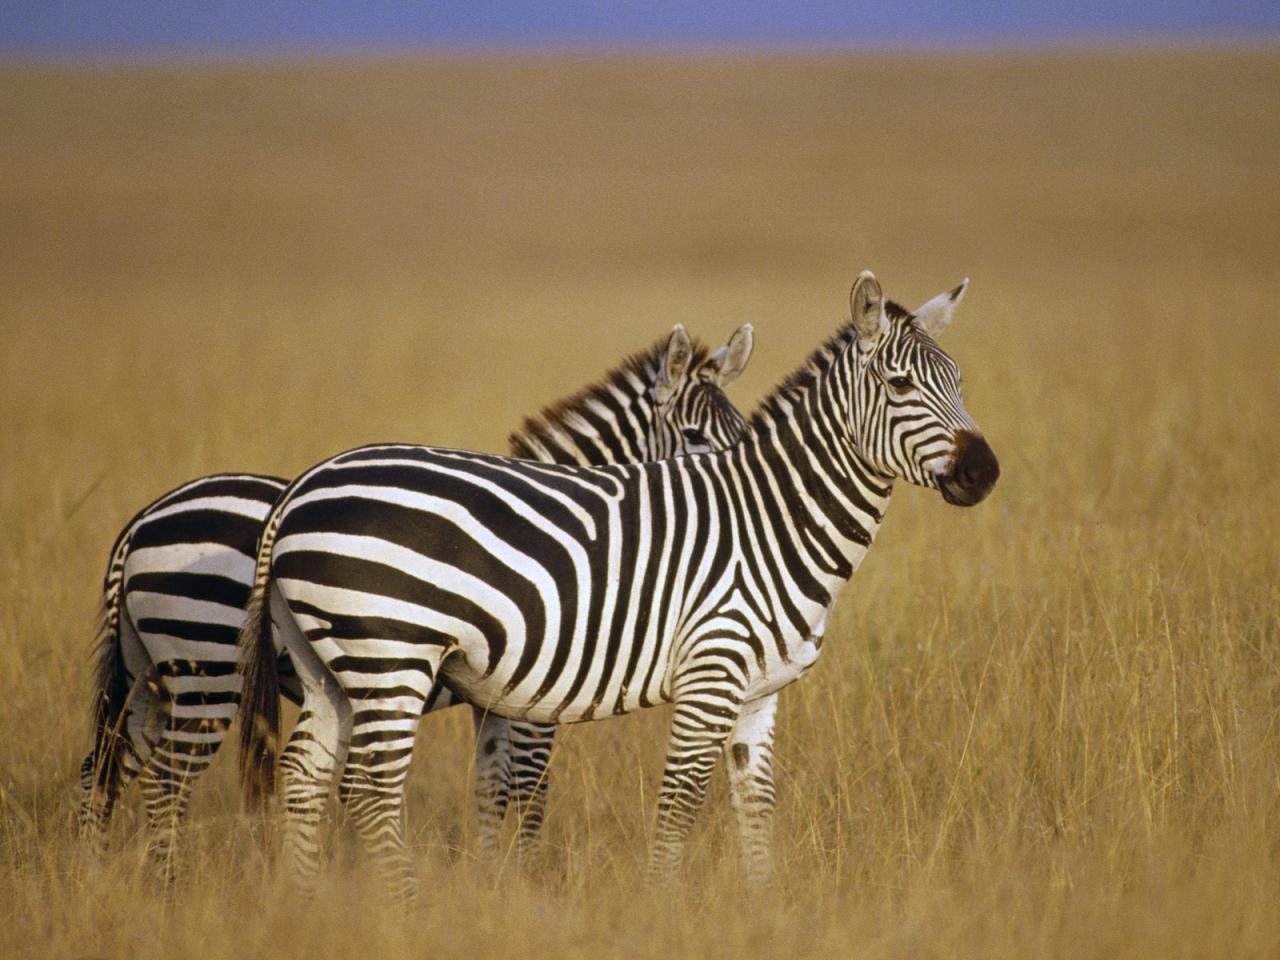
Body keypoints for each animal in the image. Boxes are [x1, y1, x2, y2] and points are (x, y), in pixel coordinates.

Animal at [77, 325, 747, 880]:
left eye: (742, 435)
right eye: (693, 437)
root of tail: (139, 525)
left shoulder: (496, 699)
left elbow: (491, 787)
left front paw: (489, 880)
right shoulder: (537, 698)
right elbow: (530, 790)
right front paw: (524, 880)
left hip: (149, 676)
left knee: (103, 769)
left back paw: (98, 879)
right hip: (207, 668)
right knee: (165, 780)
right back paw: (168, 884)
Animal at [235, 271, 998, 901]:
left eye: (958, 381)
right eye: (899, 386)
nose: (985, 472)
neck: (770, 521)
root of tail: (301, 487)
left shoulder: (758, 694)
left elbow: (756, 809)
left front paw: (762, 910)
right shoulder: (701, 677)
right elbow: (672, 803)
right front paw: (656, 910)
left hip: (328, 664)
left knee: (303, 775)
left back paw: (308, 903)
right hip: (389, 655)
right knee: (370, 789)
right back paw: (406, 906)